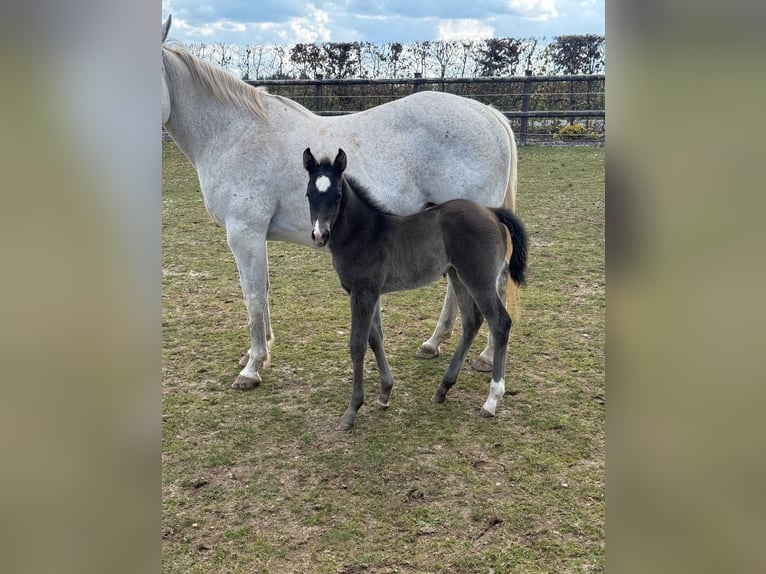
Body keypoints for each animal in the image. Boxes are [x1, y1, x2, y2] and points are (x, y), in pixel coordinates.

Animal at [161, 15, 519, 390]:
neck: (235, 133)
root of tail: (489, 115)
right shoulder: (254, 237)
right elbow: (263, 291)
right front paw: (259, 353)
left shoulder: (245, 233)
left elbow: (254, 296)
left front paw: (253, 366)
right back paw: (434, 343)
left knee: (491, 284)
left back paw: (485, 356)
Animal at [303, 148, 528, 430]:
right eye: (309, 194)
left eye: (337, 196)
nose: (319, 235)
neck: (364, 233)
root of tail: (491, 212)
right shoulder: (369, 293)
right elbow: (375, 338)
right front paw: (385, 394)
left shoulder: (363, 292)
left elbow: (358, 344)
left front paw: (352, 411)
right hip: (457, 275)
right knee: (471, 321)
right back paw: (443, 388)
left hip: (480, 279)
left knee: (500, 323)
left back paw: (491, 400)